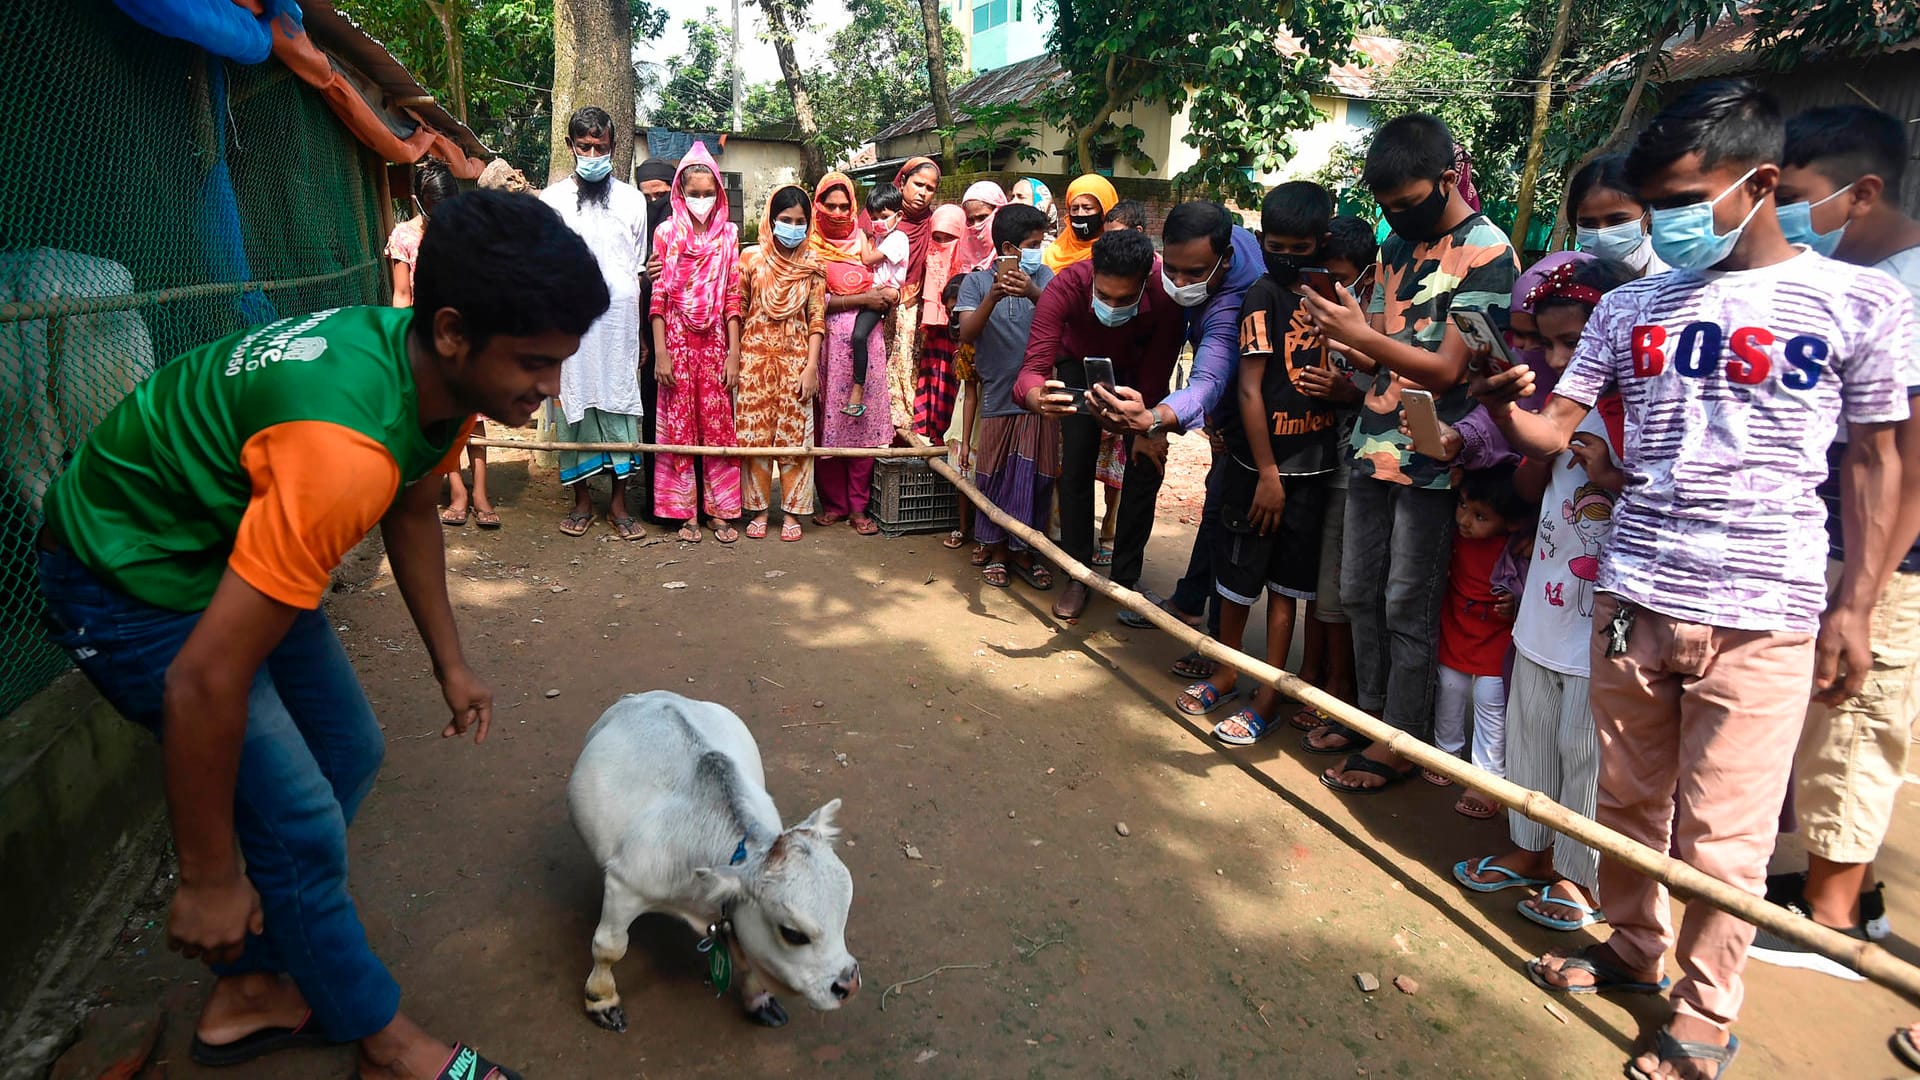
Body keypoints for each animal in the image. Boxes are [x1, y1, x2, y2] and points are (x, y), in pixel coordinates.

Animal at [564, 687, 860, 1022]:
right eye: (793, 934)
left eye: (845, 910)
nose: (849, 985)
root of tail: (646, 696)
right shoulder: (625, 885)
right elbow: (609, 947)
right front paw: (601, 999)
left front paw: (759, 998)